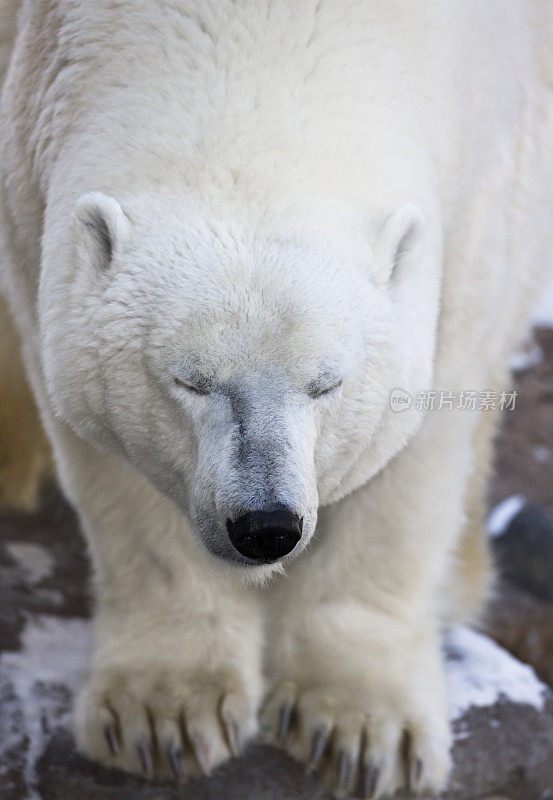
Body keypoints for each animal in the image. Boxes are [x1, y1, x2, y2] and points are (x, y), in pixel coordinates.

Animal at [0, 0, 548, 796]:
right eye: (190, 379)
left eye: (327, 382)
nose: (265, 526)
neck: (260, 39)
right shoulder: (30, 189)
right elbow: (110, 456)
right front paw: (164, 717)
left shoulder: (485, 194)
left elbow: (418, 448)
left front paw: (363, 731)